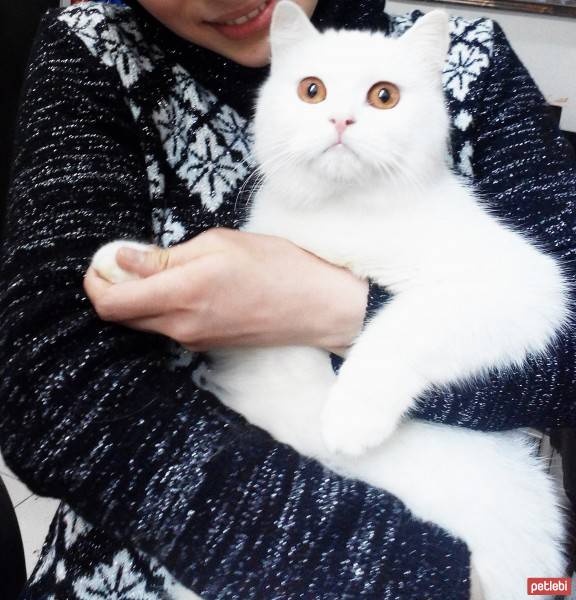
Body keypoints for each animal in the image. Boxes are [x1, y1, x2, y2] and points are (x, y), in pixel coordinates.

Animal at [92, 2, 568, 596]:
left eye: (384, 96)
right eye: (311, 90)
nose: (340, 120)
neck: (343, 212)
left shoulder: (522, 285)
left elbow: (404, 324)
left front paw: (351, 413)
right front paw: (129, 263)